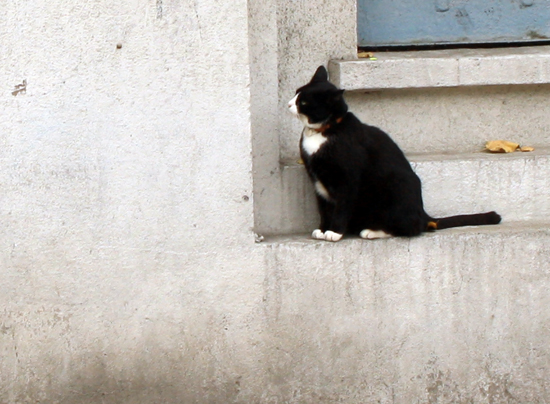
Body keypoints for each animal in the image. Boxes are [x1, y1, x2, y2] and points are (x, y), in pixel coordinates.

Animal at [292, 66, 502, 241]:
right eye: (295, 93)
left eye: (303, 101)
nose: (288, 103)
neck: (322, 131)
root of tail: (424, 214)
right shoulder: (318, 183)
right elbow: (324, 209)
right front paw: (322, 229)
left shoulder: (347, 178)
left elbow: (341, 207)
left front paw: (334, 232)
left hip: (395, 188)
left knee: (411, 228)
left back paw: (373, 231)